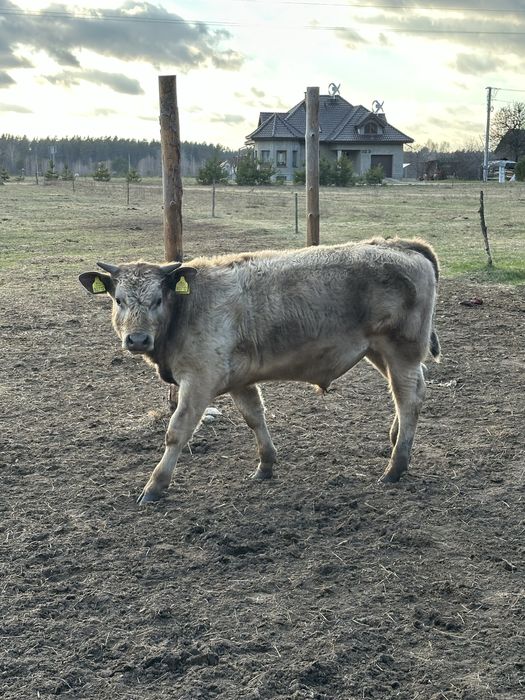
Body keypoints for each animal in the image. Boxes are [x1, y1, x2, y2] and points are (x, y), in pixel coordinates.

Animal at [79, 237, 440, 505]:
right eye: (119, 300)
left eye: (157, 299)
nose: (137, 339)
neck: (187, 307)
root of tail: (399, 245)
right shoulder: (239, 379)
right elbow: (255, 417)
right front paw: (265, 464)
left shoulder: (198, 381)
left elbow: (177, 431)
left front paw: (155, 485)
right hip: (378, 351)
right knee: (408, 392)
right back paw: (395, 439)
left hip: (401, 349)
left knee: (408, 399)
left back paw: (396, 466)